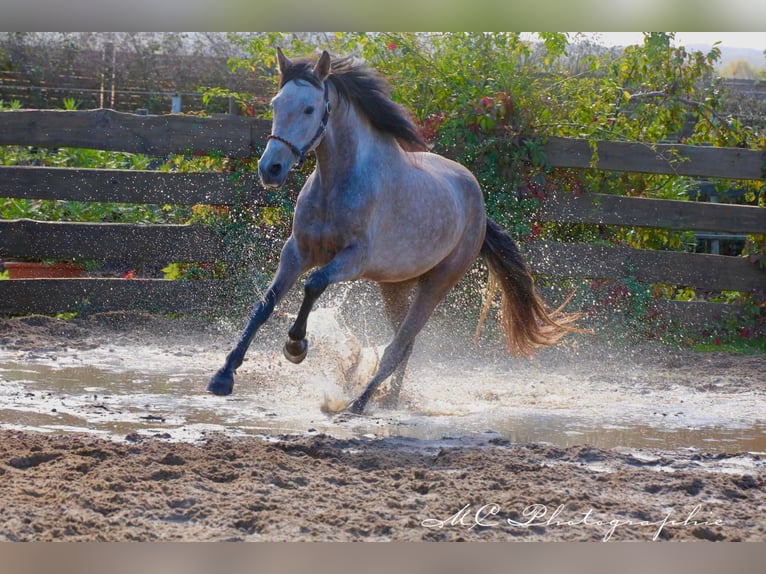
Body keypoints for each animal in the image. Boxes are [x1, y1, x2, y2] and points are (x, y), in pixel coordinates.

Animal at [207, 47, 582, 415]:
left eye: (309, 108)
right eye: (275, 104)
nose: (270, 169)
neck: (337, 183)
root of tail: (477, 202)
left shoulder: (353, 260)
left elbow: (313, 285)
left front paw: (296, 346)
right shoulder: (297, 251)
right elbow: (265, 305)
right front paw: (223, 376)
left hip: (436, 284)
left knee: (399, 344)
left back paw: (360, 402)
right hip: (396, 287)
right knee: (407, 343)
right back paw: (389, 399)